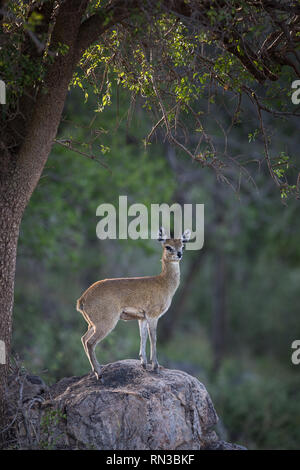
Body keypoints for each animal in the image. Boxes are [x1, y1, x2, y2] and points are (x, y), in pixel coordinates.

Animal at [76, 227, 191, 378]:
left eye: (182, 245)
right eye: (168, 246)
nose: (179, 254)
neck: (164, 283)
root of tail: (82, 300)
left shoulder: (142, 318)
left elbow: (143, 337)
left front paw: (143, 363)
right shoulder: (153, 315)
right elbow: (153, 338)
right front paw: (155, 366)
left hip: (92, 324)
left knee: (84, 339)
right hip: (106, 322)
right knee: (90, 342)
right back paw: (99, 373)